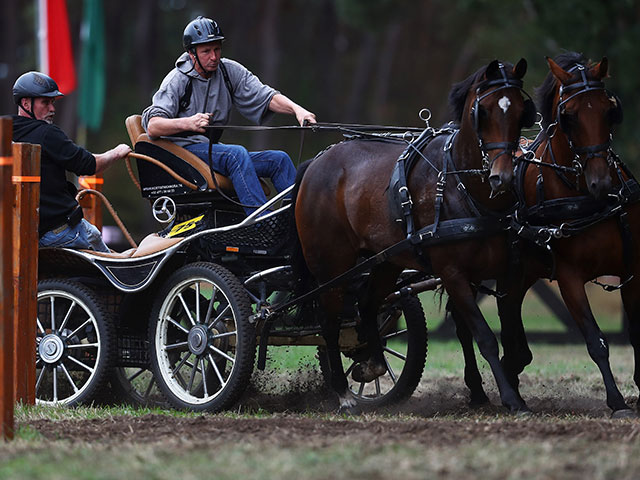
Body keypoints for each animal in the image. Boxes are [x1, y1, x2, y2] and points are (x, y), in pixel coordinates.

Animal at [292, 59, 536, 412]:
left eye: (520, 110)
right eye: (485, 111)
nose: (501, 175)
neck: (459, 185)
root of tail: (316, 162)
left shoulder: (499, 272)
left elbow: (503, 336)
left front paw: (496, 388)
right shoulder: (452, 272)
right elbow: (484, 336)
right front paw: (510, 398)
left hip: (385, 260)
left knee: (366, 306)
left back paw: (372, 364)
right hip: (331, 266)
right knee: (330, 323)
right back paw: (342, 391)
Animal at [458, 52, 636, 418]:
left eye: (609, 109)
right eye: (568, 117)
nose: (601, 182)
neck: (581, 196)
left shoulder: (631, 269)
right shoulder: (569, 276)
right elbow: (595, 340)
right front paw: (616, 401)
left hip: (518, 273)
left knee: (510, 319)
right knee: (465, 324)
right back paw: (480, 389)